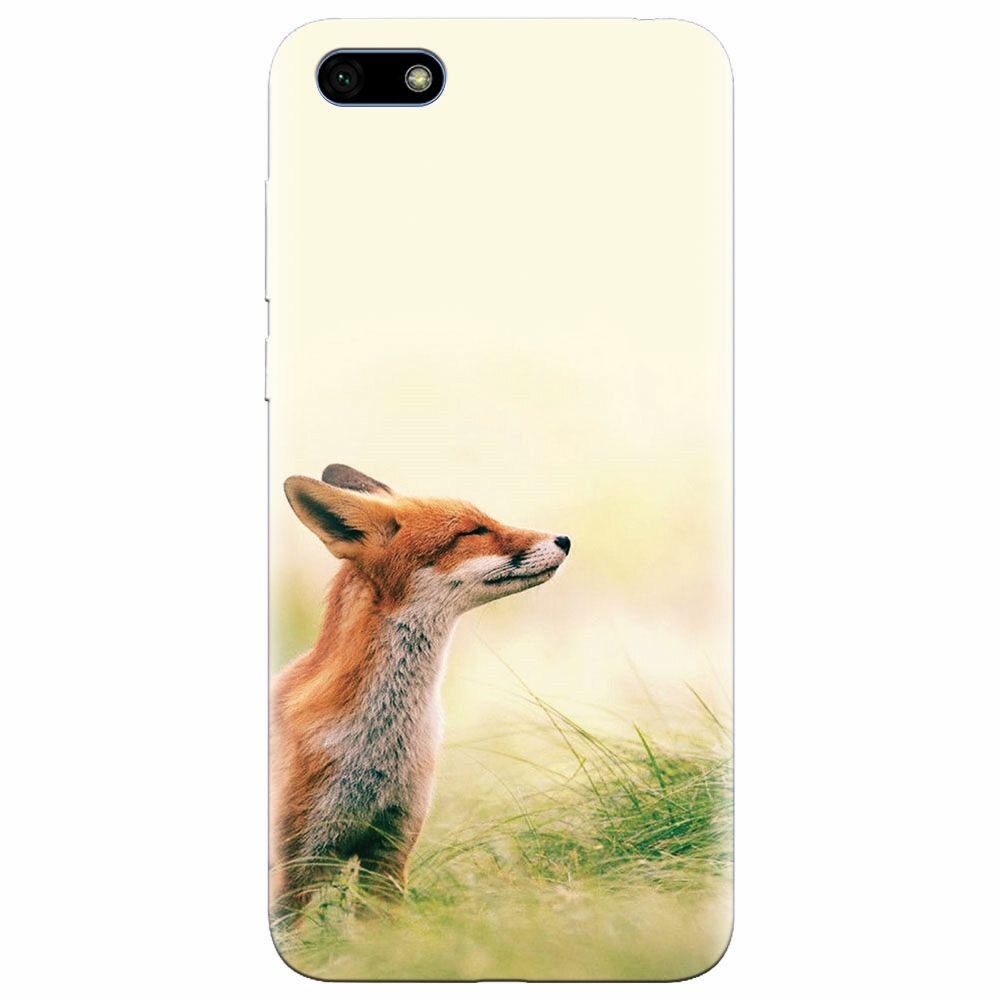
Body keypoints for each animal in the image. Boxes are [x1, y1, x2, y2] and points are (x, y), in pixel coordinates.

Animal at [270, 463, 570, 921]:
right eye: (473, 531)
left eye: (487, 520)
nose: (565, 540)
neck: (379, 747)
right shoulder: (293, 869)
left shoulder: (390, 851)